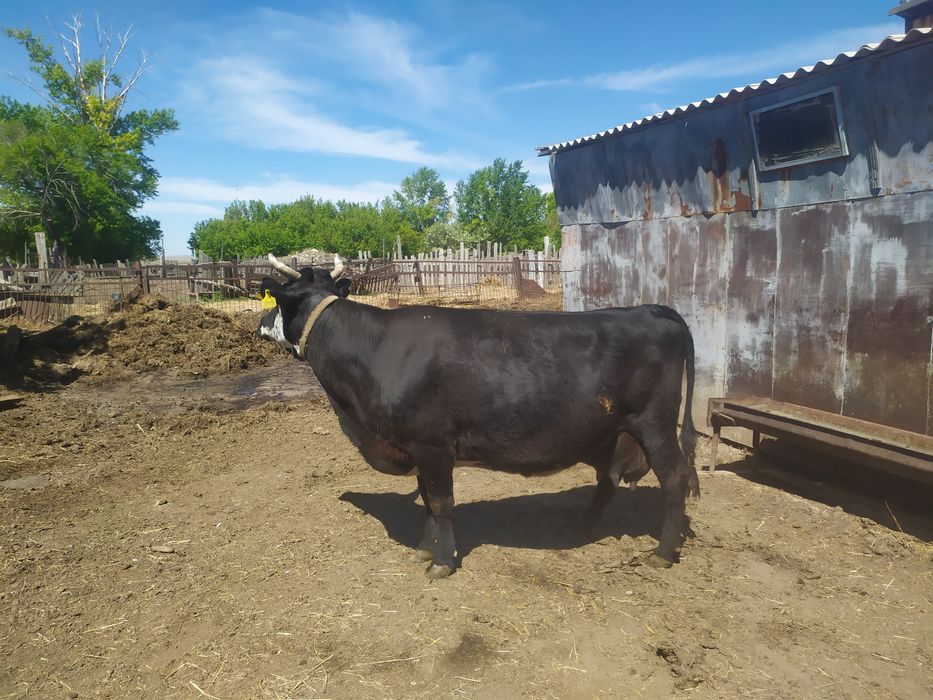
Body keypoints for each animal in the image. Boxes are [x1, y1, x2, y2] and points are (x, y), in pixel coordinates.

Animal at [258, 254, 700, 578]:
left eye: (278, 300)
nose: (261, 323)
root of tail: (650, 309)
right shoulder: (417, 446)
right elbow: (427, 501)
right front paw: (425, 549)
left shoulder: (432, 444)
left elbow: (441, 503)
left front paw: (442, 562)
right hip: (609, 430)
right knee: (608, 478)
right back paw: (584, 526)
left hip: (654, 424)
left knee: (675, 478)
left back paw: (663, 551)